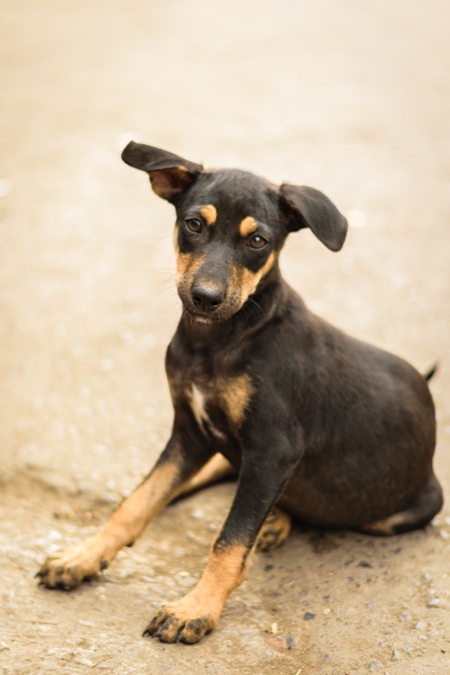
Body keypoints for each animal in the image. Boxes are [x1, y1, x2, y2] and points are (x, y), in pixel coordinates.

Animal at [36, 143, 442, 644]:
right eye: (194, 224)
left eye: (258, 241)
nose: (205, 297)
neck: (219, 340)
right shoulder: (190, 433)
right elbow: (137, 502)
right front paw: (83, 557)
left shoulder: (272, 451)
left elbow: (229, 540)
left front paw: (195, 608)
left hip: (402, 509)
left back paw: (275, 520)